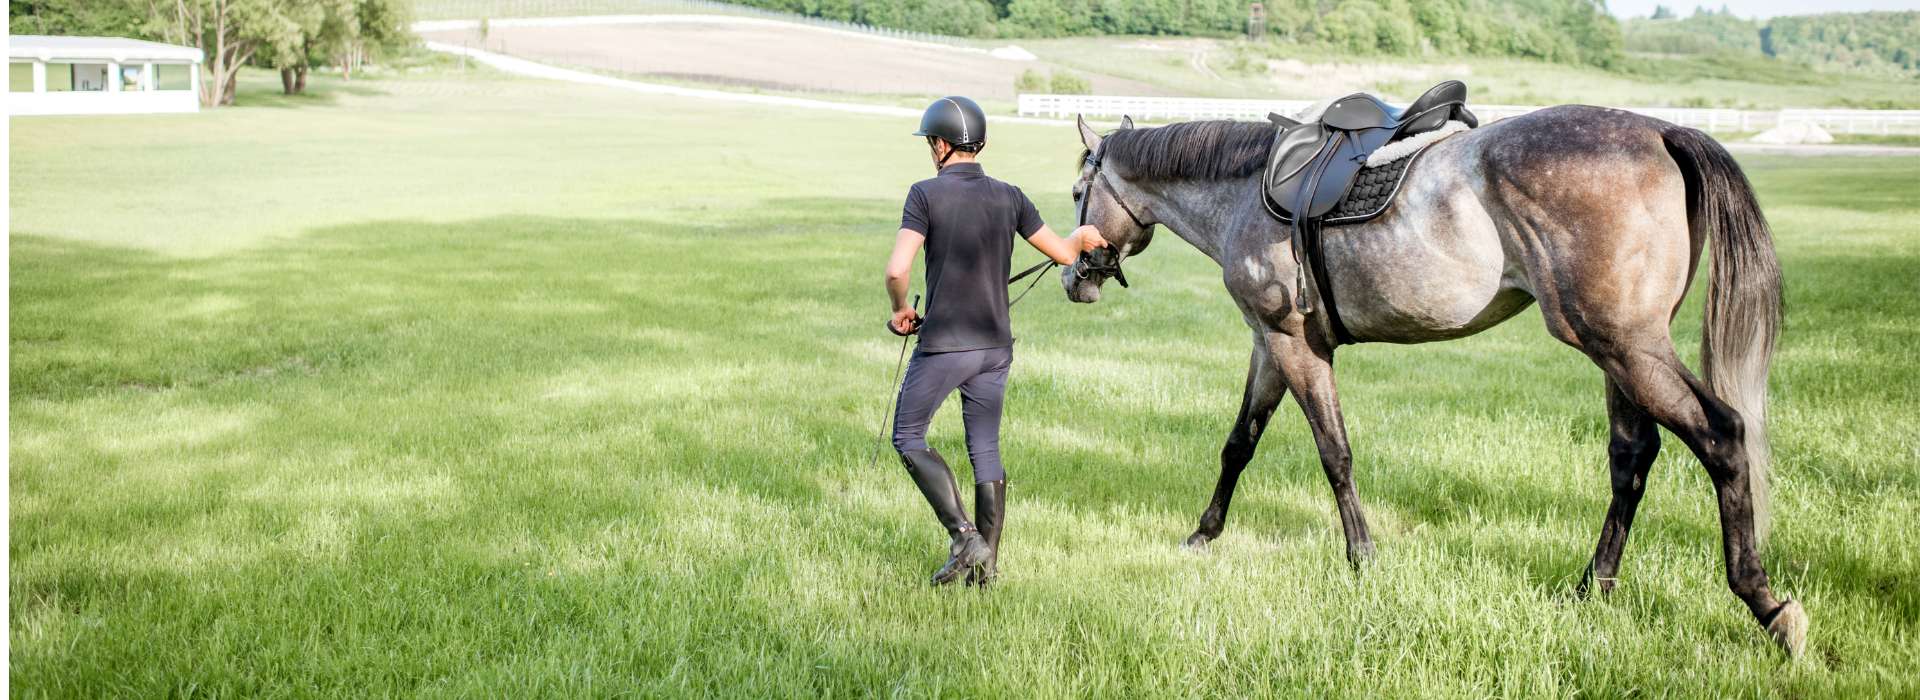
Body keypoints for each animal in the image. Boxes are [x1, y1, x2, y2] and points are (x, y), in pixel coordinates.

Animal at [1060, 106, 1806, 657]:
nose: (1074, 277)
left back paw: (1765, 603)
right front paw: (1204, 534)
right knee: (1632, 459)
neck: (1247, 190)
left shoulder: (1295, 346)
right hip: (1620, 351)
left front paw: (1362, 558)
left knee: (1722, 437)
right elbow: (1239, 444)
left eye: (1075, 193)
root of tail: (1661, 131)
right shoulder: (1269, 345)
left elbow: (1334, 453)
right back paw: (1593, 586)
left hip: (1626, 347)